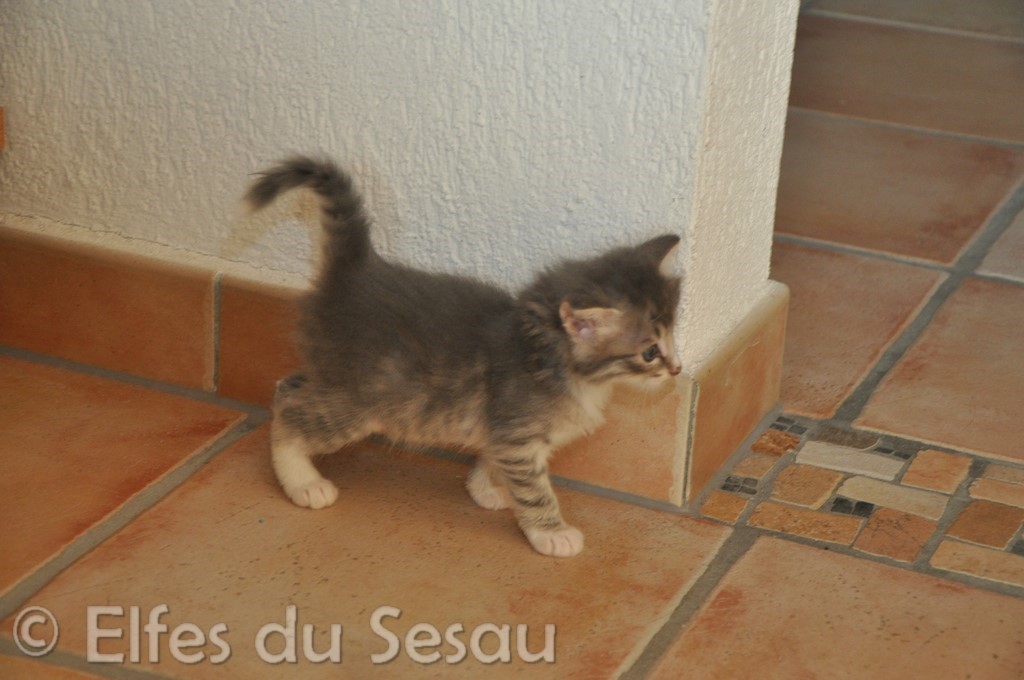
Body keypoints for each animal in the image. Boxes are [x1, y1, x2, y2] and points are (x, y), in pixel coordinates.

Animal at [246, 156, 682, 557]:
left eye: (674, 336)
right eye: (649, 351)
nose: (677, 369)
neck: (548, 357)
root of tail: (352, 274)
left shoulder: (503, 430)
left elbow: (493, 458)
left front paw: (485, 488)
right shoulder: (518, 435)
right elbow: (535, 489)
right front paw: (550, 532)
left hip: (331, 377)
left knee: (288, 385)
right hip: (357, 402)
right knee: (291, 412)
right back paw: (303, 482)